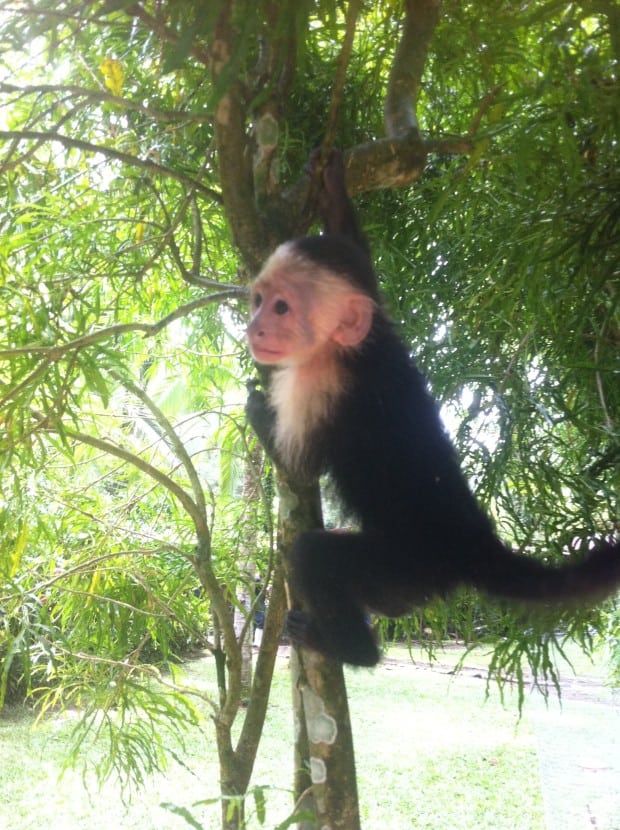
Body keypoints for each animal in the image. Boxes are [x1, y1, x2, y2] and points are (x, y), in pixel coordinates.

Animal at [245, 148, 616, 668]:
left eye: (281, 308)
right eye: (259, 300)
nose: (253, 327)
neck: (354, 351)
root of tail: (471, 542)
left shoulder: (316, 384)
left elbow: (298, 470)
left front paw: (260, 412)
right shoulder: (376, 316)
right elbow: (365, 264)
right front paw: (334, 190)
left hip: (406, 565)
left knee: (315, 556)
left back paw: (349, 648)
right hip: (407, 583)